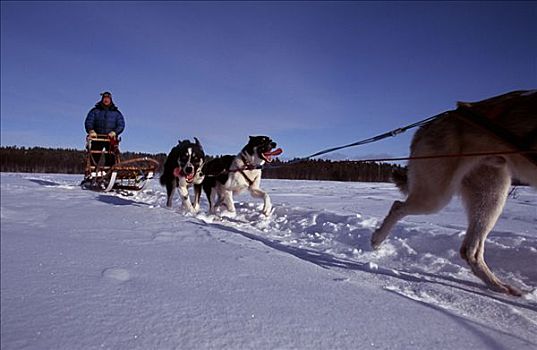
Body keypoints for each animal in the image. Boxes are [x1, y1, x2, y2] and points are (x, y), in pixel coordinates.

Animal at [370, 90, 532, 296]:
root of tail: (428, 124)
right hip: (439, 195)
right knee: (398, 206)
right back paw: (377, 238)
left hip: (490, 193)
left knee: (470, 249)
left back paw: (497, 285)